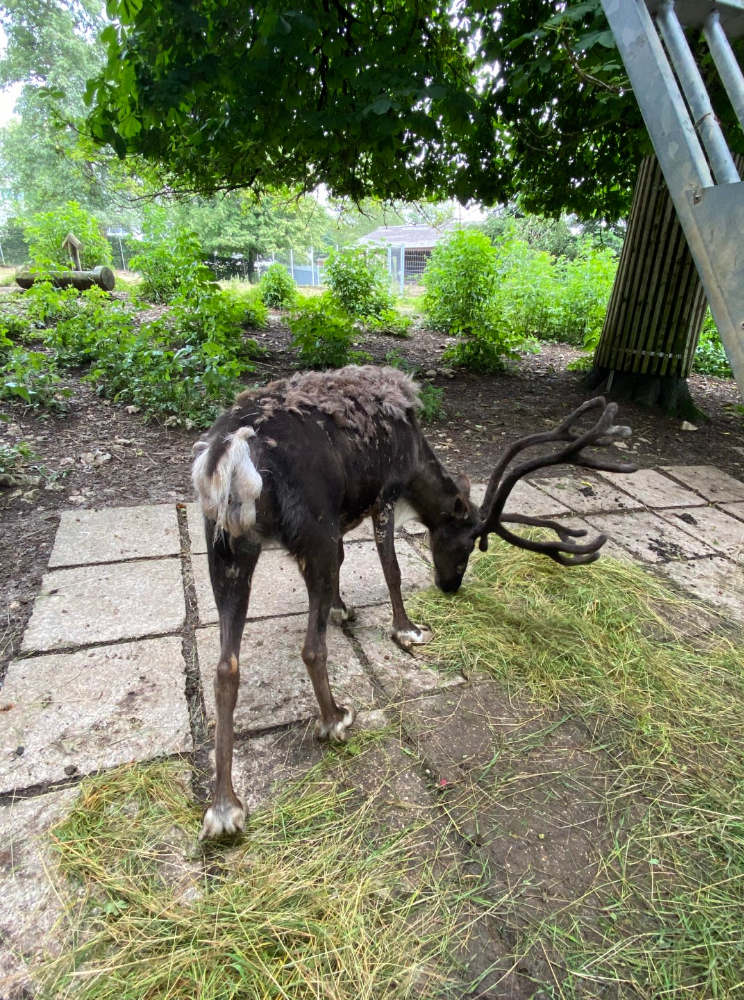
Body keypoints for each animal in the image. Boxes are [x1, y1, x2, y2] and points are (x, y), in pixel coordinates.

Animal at [192, 365, 636, 839]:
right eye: (468, 542)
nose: (450, 587)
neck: (415, 454)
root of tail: (234, 451)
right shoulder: (383, 495)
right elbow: (392, 571)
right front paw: (408, 629)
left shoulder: (347, 513)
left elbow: (346, 565)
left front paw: (341, 606)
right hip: (312, 530)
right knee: (311, 649)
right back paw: (335, 720)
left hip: (227, 544)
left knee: (225, 667)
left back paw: (224, 807)